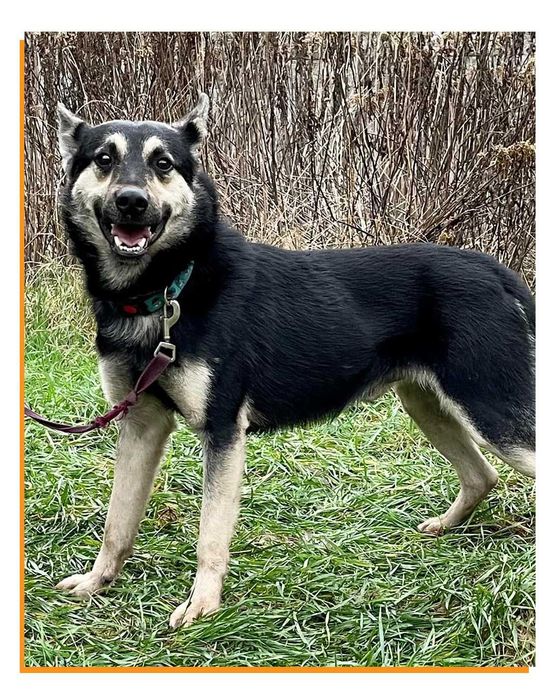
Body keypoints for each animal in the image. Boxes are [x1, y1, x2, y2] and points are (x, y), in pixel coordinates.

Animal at [53, 94, 535, 628]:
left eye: (163, 163)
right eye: (104, 159)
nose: (131, 201)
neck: (166, 290)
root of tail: (493, 269)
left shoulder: (223, 431)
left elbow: (210, 535)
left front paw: (202, 606)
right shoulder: (140, 423)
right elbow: (118, 521)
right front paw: (98, 581)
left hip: (495, 413)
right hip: (428, 404)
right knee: (482, 475)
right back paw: (446, 525)